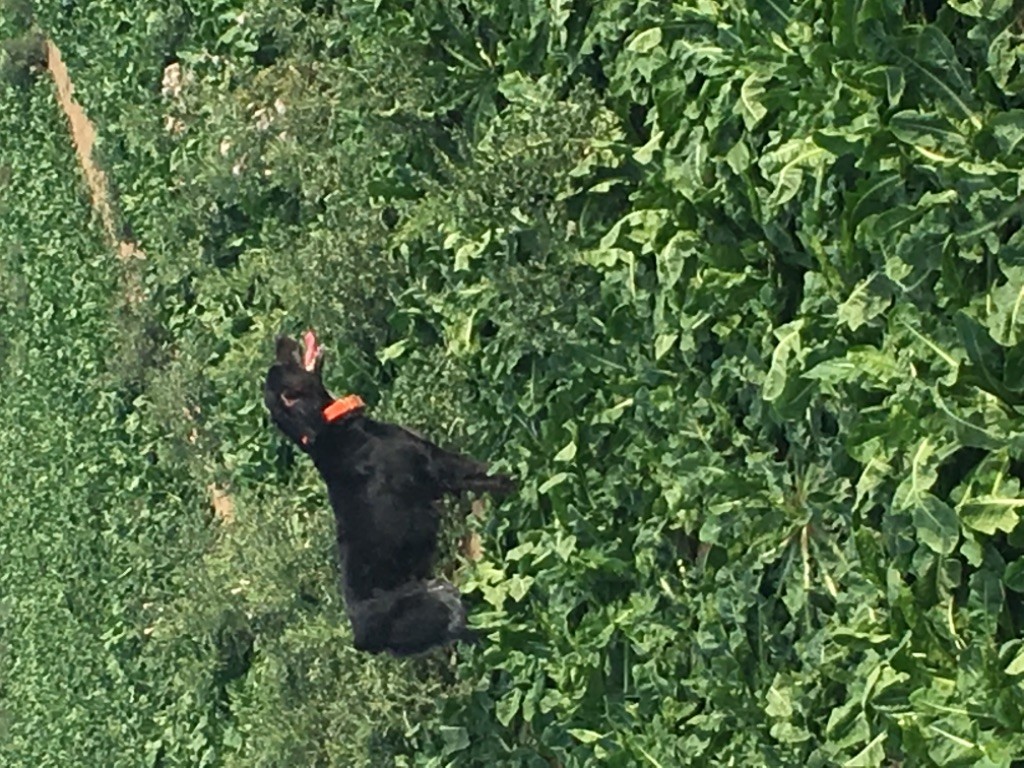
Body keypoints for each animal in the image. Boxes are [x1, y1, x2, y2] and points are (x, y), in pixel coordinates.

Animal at [264, 331, 516, 655]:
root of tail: (362, 640)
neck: (330, 431)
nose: (279, 337)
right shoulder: (439, 466)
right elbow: (487, 475)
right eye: (285, 367)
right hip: (441, 602)